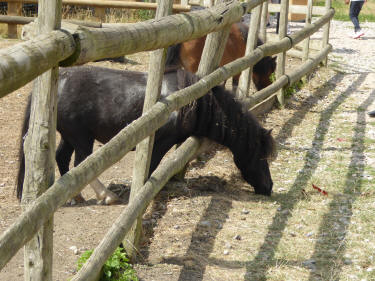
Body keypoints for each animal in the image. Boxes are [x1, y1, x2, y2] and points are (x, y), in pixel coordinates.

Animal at [16, 66, 276, 203]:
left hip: (70, 136)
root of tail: (59, 81)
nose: (269, 187)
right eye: (261, 157)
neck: (188, 100)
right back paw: (106, 195)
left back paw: (76, 197)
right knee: (81, 164)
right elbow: (151, 168)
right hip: (81, 138)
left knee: (63, 159)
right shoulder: (160, 142)